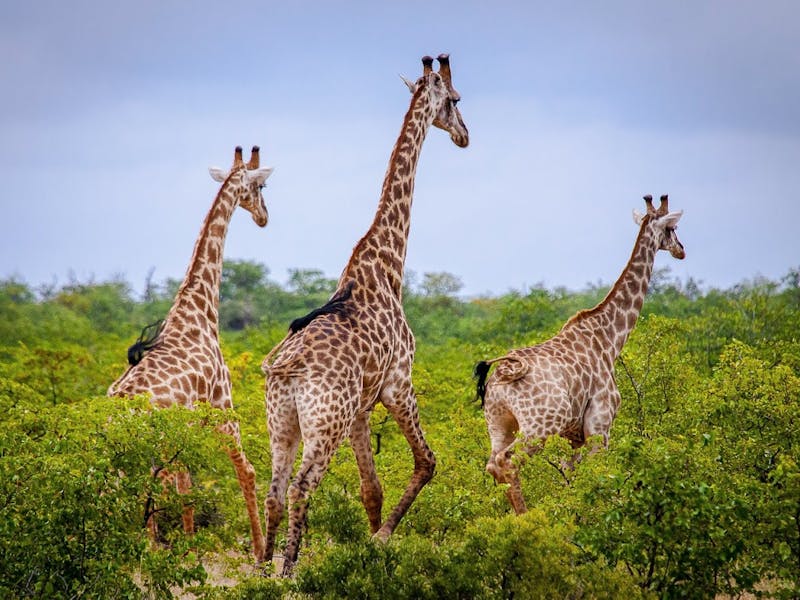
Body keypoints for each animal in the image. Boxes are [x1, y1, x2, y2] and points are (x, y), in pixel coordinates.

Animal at [108, 146, 273, 561]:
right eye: (261, 186)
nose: (264, 217)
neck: (199, 307)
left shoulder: (184, 431)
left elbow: (185, 484)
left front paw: (189, 548)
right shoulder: (222, 405)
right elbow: (245, 471)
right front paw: (260, 552)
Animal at [260, 54, 469, 576]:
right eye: (456, 100)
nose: (465, 135)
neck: (387, 266)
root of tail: (288, 368)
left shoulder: (361, 408)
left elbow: (370, 489)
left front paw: (372, 545)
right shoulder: (399, 384)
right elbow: (427, 462)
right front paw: (382, 540)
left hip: (283, 420)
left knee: (274, 489)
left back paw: (261, 570)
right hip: (324, 422)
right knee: (301, 486)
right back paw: (288, 570)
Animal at [474, 195, 685, 515]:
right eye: (672, 228)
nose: (681, 250)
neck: (609, 339)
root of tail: (503, 372)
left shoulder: (574, 435)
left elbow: (569, 474)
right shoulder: (601, 423)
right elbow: (600, 474)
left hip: (498, 422)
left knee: (492, 463)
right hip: (540, 425)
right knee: (509, 462)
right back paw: (524, 519)